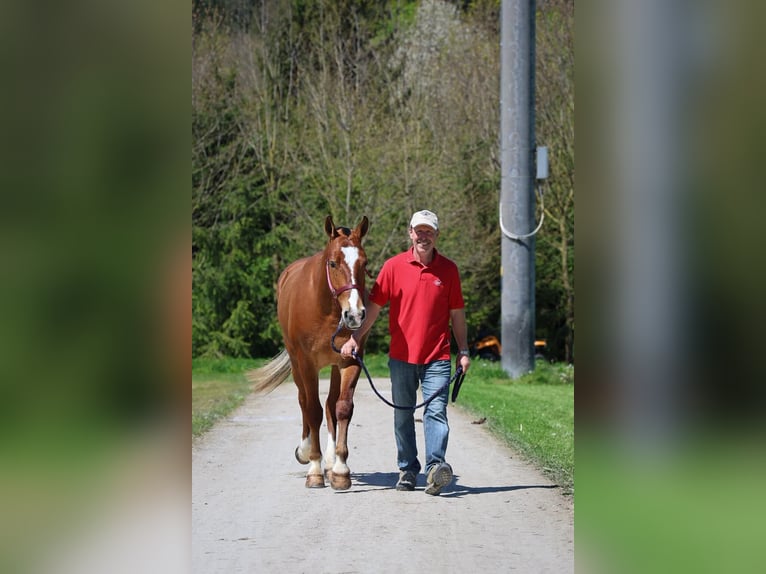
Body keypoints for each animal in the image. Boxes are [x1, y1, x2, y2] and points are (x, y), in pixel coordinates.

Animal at [248, 216, 370, 490]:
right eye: (333, 262)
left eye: (364, 263)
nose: (355, 315)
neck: (327, 311)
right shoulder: (306, 364)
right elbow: (312, 409)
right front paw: (314, 469)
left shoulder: (350, 361)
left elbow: (342, 408)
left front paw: (340, 469)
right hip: (296, 365)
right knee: (304, 402)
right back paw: (306, 452)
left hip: (334, 366)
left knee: (330, 405)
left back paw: (330, 461)